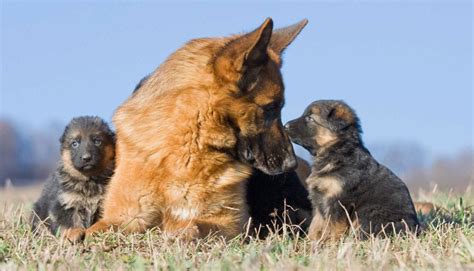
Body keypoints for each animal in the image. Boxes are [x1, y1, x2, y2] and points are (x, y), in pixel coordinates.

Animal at [77, 18, 308, 241]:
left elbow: (193, 225)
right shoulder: (124, 217)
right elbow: (96, 230)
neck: (188, 144)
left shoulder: (230, 225)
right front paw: (78, 235)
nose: (291, 164)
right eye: (270, 108)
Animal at [284, 101, 420, 241]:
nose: (285, 126)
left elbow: (333, 227)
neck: (336, 150)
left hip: (369, 213)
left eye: (310, 118)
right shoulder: (319, 202)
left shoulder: (338, 201)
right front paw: (311, 242)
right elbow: (315, 225)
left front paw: (331, 243)